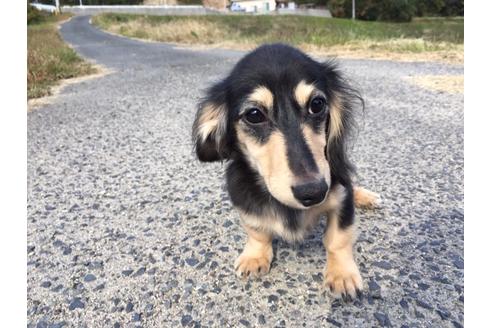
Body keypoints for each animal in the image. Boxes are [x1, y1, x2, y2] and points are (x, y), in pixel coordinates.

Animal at [192, 43, 380, 300]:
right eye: (254, 114)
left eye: (317, 104)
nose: (313, 192)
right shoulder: (243, 198)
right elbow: (256, 229)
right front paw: (255, 256)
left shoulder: (341, 195)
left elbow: (338, 238)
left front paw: (342, 275)